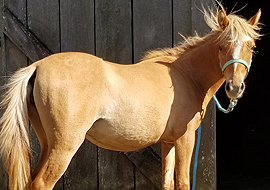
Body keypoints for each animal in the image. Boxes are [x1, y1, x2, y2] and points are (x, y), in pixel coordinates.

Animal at [0, 5, 262, 190]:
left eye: (251, 46)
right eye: (221, 46)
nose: (234, 88)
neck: (185, 75)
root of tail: (37, 66)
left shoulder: (168, 142)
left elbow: (168, 182)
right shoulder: (185, 139)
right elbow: (183, 183)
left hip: (47, 143)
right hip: (64, 146)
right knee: (42, 183)